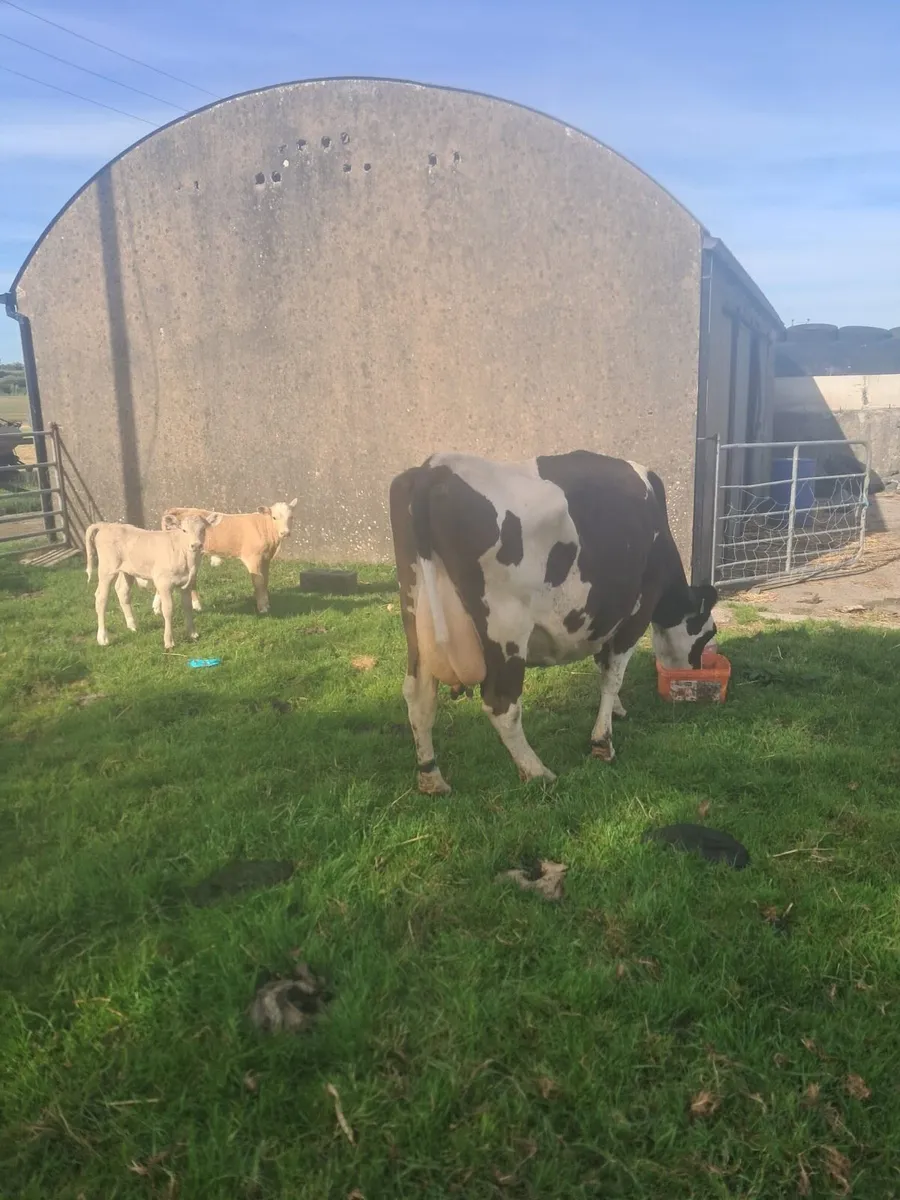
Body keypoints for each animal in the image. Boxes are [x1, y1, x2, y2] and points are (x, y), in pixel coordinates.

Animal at [85, 512, 222, 650]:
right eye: (184, 530)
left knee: (122, 591)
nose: (196, 545)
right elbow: (168, 609)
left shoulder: (186, 584)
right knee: (101, 598)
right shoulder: (163, 583)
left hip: (127, 570)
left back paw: (132, 626)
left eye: (203, 529)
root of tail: (106, 525)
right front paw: (169, 641)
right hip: (106, 570)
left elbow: (188, 607)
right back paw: (103, 637)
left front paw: (193, 633)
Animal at [152, 499, 298, 616]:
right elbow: (258, 582)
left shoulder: (266, 558)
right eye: (274, 517)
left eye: (291, 517)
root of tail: (177, 509)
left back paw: (158, 608)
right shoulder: (252, 558)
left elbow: (265, 580)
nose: (285, 533)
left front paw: (266, 603)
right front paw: (262, 608)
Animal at [389, 450, 718, 794]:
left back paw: (431, 776)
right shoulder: (635, 614)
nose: (694, 672)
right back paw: (537, 771)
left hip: (414, 615)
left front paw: (615, 710)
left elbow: (603, 666)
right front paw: (603, 742)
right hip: (506, 630)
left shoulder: (603, 618)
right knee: (502, 704)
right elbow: (613, 676)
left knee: (419, 697)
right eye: (708, 634)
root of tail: (435, 467)